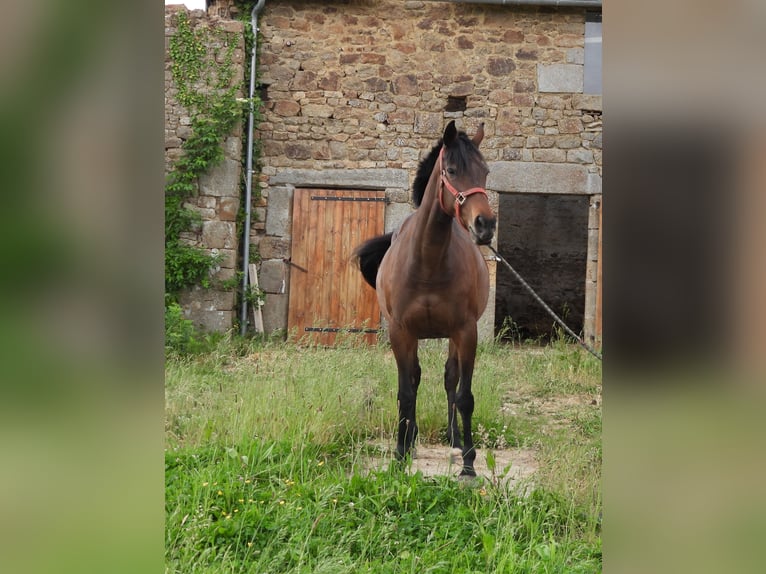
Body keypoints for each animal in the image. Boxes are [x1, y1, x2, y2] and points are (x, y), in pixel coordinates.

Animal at [356, 121, 498, 476]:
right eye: (452, 170)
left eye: (485, 172)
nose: (485, 225)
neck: (428, 262)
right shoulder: (400, 332)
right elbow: (406, 392)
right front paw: (400, 452)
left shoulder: (466, 331)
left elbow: (464, 394)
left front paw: (469, 462)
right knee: (416, 378)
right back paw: (412, 438)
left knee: (450, 378)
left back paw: (454, 438)